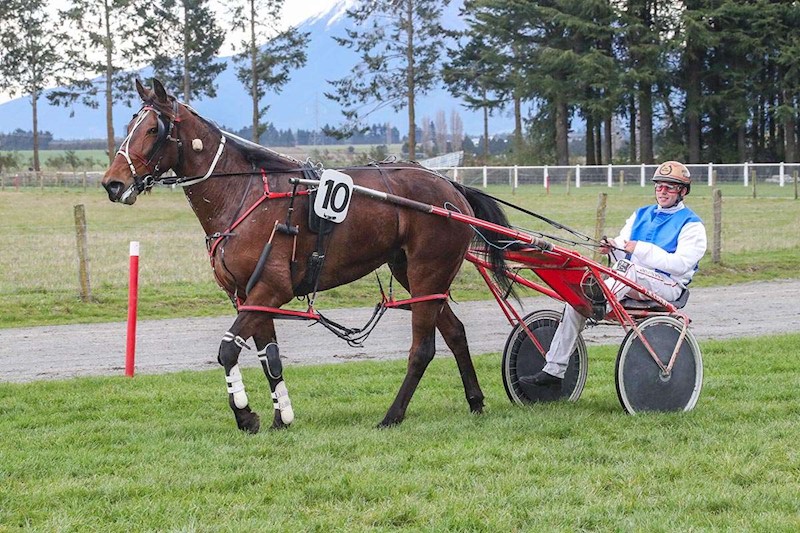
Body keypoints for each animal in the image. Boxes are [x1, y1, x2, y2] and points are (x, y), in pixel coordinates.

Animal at [101, 80, 512, 432]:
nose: (112, 183)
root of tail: (451, 187)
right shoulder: (249, 296)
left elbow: (227, 350)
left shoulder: (271, 288)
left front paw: (245, 415)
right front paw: (280, 417)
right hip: (412, 273)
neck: (243, 195)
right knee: (455, 332)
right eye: (130, 125)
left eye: (152, 130)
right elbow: (269, 356)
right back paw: (475, 401)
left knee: (422, 349)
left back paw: (392, 415)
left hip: (429, 270)